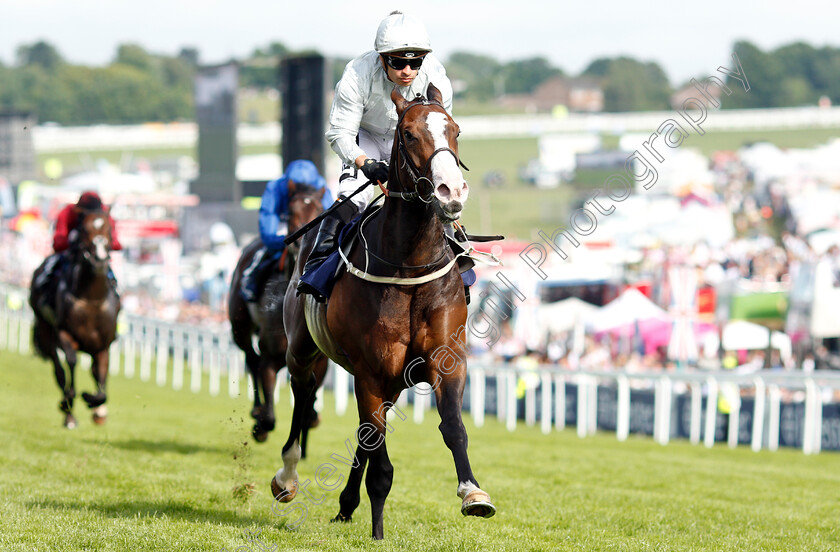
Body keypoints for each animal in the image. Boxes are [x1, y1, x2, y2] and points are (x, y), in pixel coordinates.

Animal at [29, 209, 120, 430]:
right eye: (84, 229)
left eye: (109, 228)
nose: (100, 257)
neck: (91, 300)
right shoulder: (64, 334)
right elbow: (71, 362)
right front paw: (69, 401)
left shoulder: (103, 345)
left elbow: (101, 381)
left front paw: (95, 404)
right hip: (46, 331)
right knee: (59, 371)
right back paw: (69, 414)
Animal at [230, 183, 332, 450]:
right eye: (290, 211)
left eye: (319, 209)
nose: (306, 240)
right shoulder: (272, 357)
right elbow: (270, 412)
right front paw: (261, 426)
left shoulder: (321, 361)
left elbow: (311, 397)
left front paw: (311, 417)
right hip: (239, 328)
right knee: (251, 359)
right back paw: (256, 411)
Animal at [276, 84, 498, 540]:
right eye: (409, 134)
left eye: (456, 130)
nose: (451, 192)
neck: (408, 261)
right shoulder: (372, 370)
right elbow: (380, 463)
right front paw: (378, 532)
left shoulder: (444, 359)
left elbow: (453, 426)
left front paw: (473, 493)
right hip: (303, 351)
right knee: (304, 397)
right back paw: (287, 478)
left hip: (391, 382)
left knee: (362, 433)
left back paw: (346, 504)